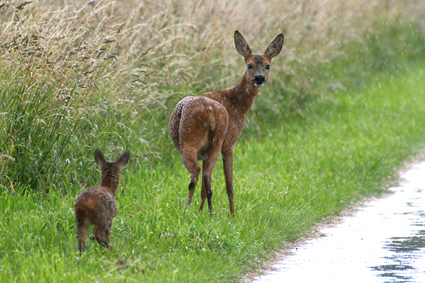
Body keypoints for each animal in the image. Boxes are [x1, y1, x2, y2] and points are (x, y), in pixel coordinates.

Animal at [168, 30, 282, 215]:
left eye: (268, 66)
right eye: (249, 65)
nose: (259, 78)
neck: (237, 103)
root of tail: (209, 112)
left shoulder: (204, 152)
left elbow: (203, 188)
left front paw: (201, 211)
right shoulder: (230, 142)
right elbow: (229, 184)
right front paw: (233, 213)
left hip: (187, 142)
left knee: (198, 174)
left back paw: (193, 209)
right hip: (214, 140)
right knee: (203, 174)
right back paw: (205, 211)